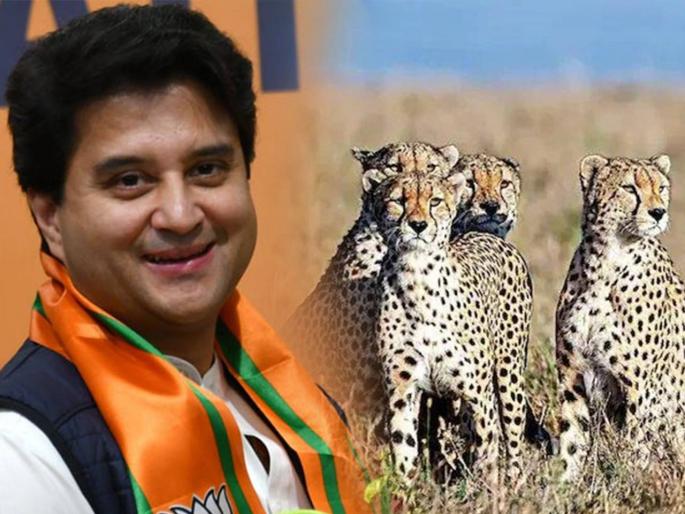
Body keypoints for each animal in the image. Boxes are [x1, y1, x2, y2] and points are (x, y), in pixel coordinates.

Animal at [374, 168, 533, 486]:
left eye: (435, 201)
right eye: (398, 201)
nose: (418, 225)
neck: (417, 278)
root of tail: (484, 234)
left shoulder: (478, 393)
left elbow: (487, 453)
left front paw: (490, 493)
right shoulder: (402, 390)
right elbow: (404, 450)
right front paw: (405, 493)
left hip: (508, 376)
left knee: (511, 438)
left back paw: (517, 484)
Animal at [556, 153, 685, 481]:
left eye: (661, 187)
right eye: (629, 188)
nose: (658, 212)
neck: (605, 264)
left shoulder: (641, 387)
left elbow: (636, 444)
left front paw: (632, 481)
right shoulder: (572, 376)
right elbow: (572, 439)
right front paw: (563, 485)